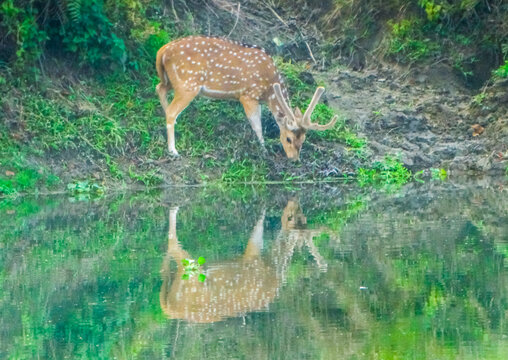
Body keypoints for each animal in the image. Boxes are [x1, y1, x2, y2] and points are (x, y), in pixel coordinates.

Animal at [155, 35, 338, 159]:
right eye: (288, 139)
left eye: (304, 139)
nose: (294, 159)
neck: (269, 89)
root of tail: (163, 50)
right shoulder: (248, 95)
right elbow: (257, 124)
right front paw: (263, 149)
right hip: (188, 84)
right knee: (171, 110)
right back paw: (173, 150)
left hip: (172, 80)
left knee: (160, 89)